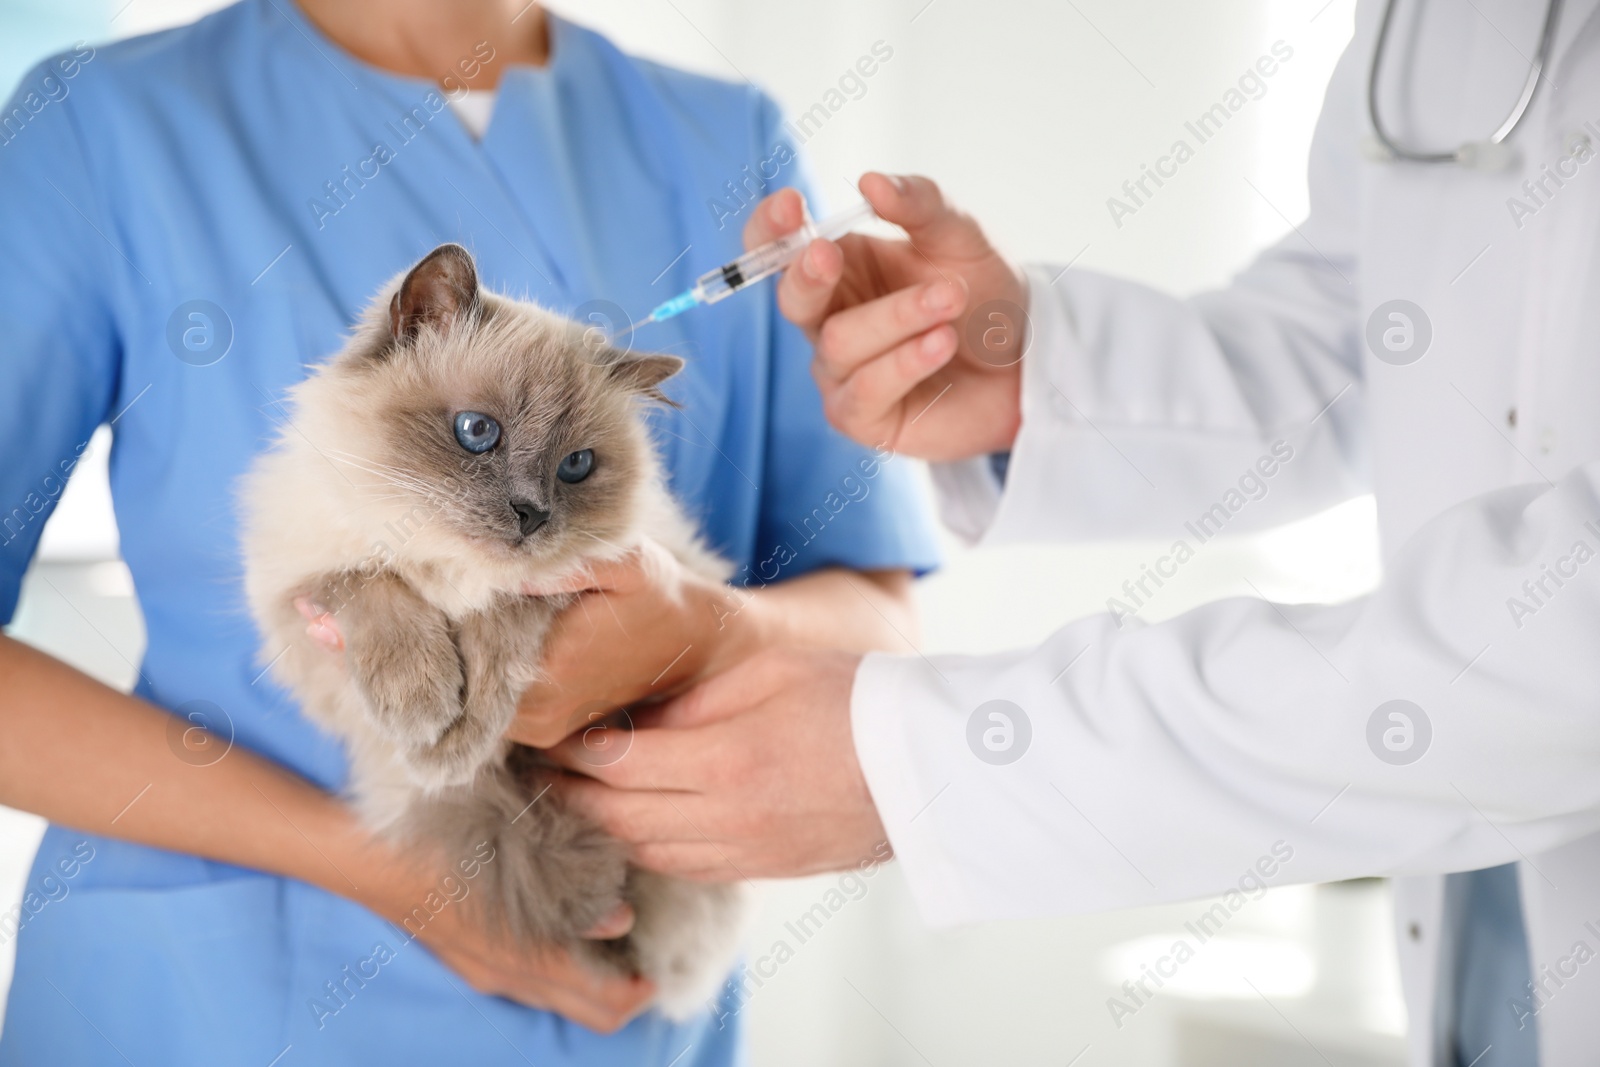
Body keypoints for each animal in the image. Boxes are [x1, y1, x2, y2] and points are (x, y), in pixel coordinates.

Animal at [241, 241, 748, 1017]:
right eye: (478, 432)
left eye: (576, 466)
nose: (531, 514)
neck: (448, 565)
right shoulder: (301, 593)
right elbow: (374, 584)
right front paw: (423, 709)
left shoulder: (573, 585)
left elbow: (497, 630)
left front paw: (450, 745)